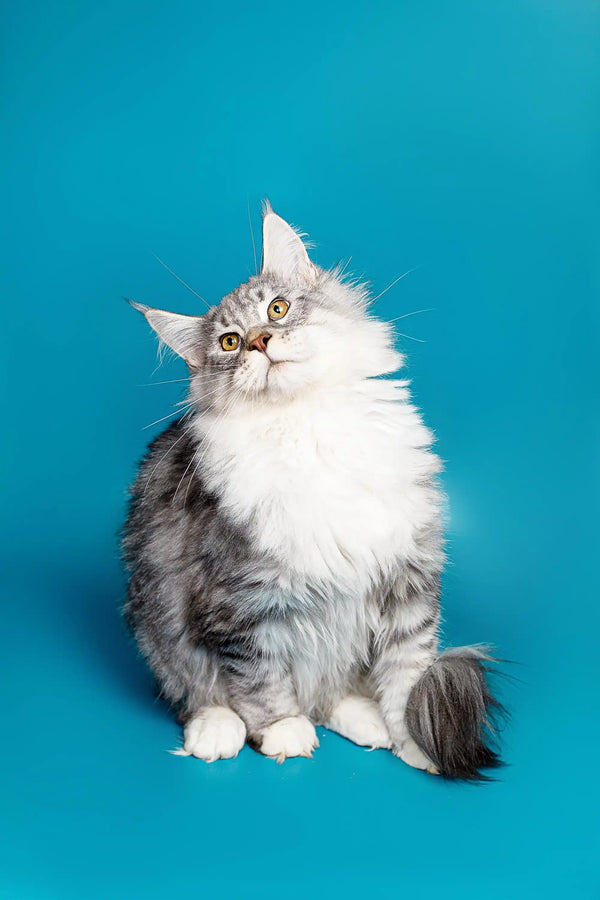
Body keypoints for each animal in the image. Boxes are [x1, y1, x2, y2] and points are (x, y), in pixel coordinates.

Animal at [120, 206, 502, 780]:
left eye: (277, 310)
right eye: (230, 342)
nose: (260, 342)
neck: (308, 424)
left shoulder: (408, 575)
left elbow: (407, 674)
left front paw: (413, 742)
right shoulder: (238, 604)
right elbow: (260, 682)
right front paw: (284, 732)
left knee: (332, 693)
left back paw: (366, 721)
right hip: (157, 622)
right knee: (197, 691)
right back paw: (218, 730)